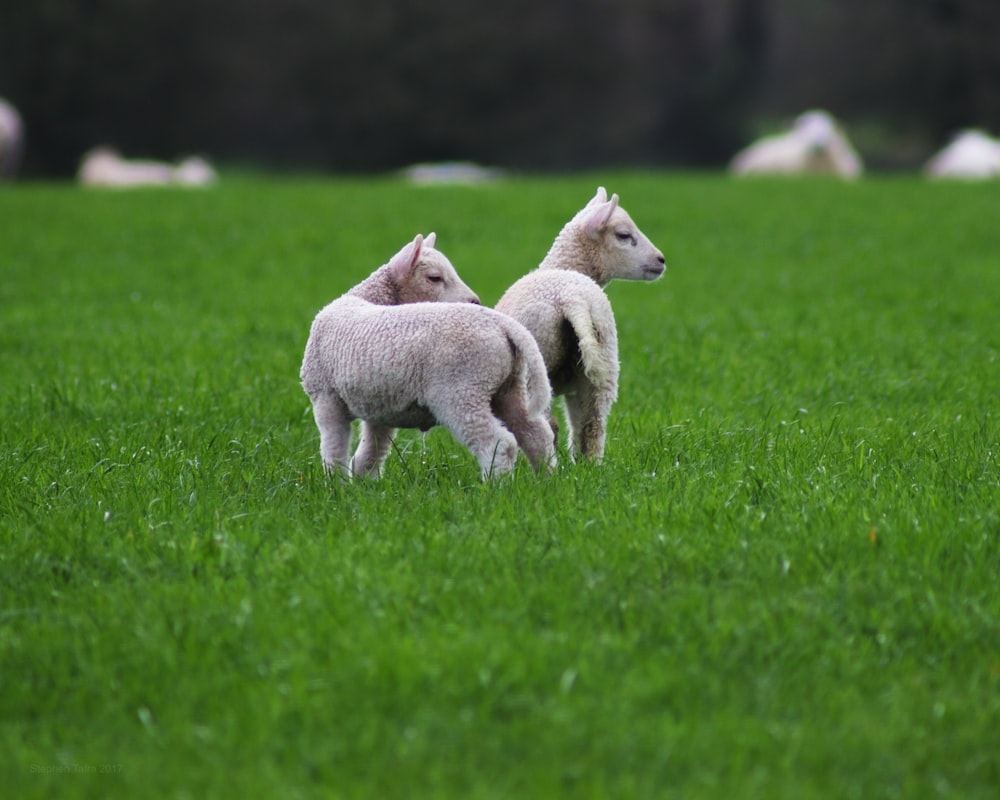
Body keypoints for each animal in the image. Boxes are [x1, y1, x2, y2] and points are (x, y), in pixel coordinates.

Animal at [300, 233, 560, 482]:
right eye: (434, 278)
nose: (475, 301)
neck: (366, 298)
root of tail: (502, 323)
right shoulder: (379, 405)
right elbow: (371, 452)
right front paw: (365, 487)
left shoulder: (325, 398)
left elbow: (334, 450)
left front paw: (337, 487)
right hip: (509, 388)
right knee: (536, 434)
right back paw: (546, 481)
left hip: (462, 390)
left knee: (498, 443)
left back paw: (496, 487)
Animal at [496, 188, 668, 462]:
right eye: (623, 235)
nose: (661, 260)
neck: (566, 266)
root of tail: (570, 297)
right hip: (601, 361)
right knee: (591, 425)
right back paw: (587, 467)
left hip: (537, 365)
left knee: (548, 425)